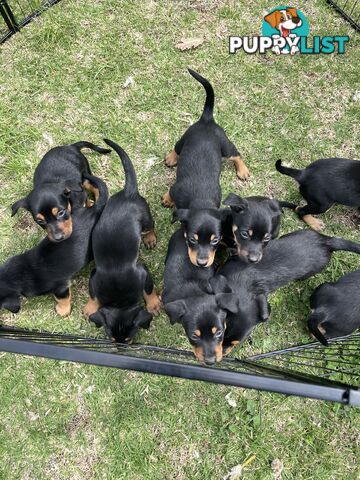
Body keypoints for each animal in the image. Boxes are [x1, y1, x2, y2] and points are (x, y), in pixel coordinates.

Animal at [84, 137, 160, 344]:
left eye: (128, 340)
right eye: (112, 339)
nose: (121, 349)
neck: (119, 302)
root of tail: (128, 192)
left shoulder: (143, 271)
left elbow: (148, 289)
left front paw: (153, 304)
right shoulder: (94, 276)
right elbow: (93, 294)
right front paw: (90, 307)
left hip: (145, 215)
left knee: (151, 226)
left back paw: (150, 238)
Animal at [162, 69, 249, 268]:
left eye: (215, 240)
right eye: (192, 239)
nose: (202, 263)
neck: (200, 200)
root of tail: (207, 120)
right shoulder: (176, 188)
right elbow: (170, 191)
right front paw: (167, 199)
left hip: (224, 146)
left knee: (236, 154)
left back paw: (243, 170)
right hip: (186, 139)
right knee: (177, 148)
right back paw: (171, 158)